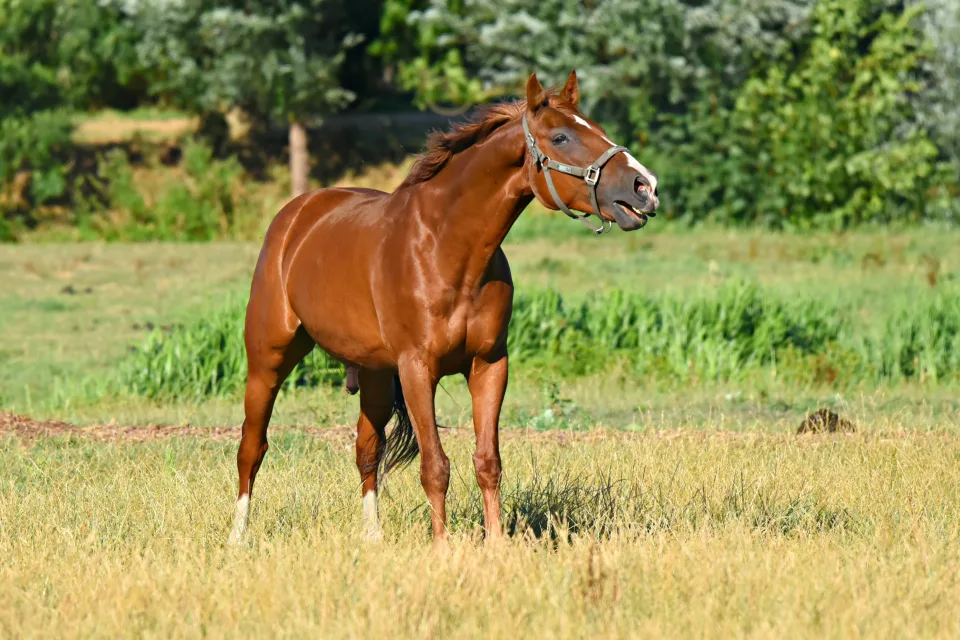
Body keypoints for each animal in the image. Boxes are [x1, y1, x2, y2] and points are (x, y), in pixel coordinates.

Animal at [227, 70, 659, 547]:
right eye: (561, 136)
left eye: (598, 128)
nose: (644, 187)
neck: (447, 248)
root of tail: (296, 215)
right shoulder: (418, 368)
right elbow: (435, 467)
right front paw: (442, 549)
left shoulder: (489, 364)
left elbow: (488, 461)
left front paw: (496, 545)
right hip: (268, 357)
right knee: (252, 446)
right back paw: (236, 538)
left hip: (374, 374)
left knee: (366, 449)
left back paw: (372, 537)